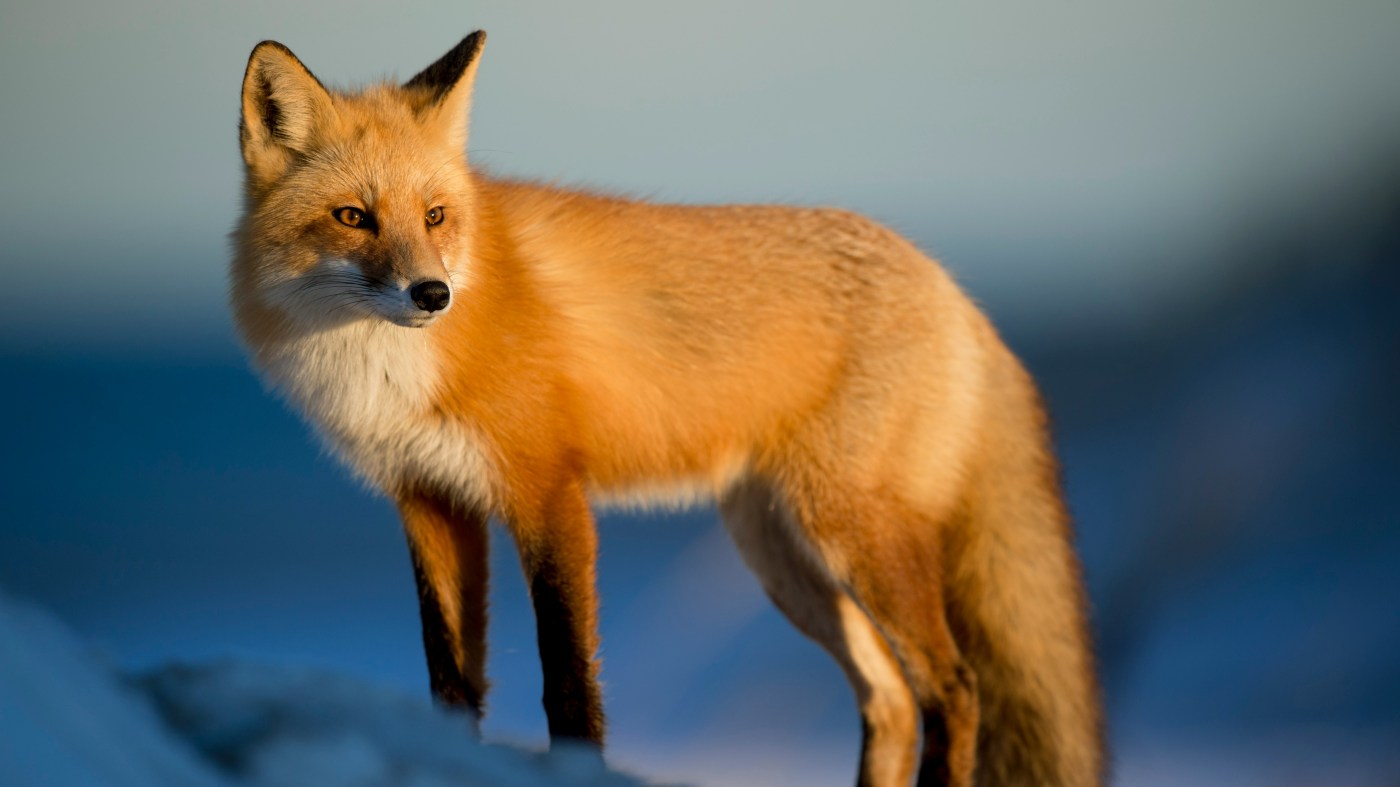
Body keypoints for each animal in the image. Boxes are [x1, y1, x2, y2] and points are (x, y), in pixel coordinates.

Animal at [231, 31, 1103, 787]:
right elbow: (450, 680)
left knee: (953, 687)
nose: (433, 294)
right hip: (783, 557)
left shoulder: (548, 493)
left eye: (436, 216)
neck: (389, 372)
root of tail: (955, 290)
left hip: (854, 535)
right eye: (354, 217)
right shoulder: (430, 501)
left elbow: (568, 681)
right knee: (889, 696)